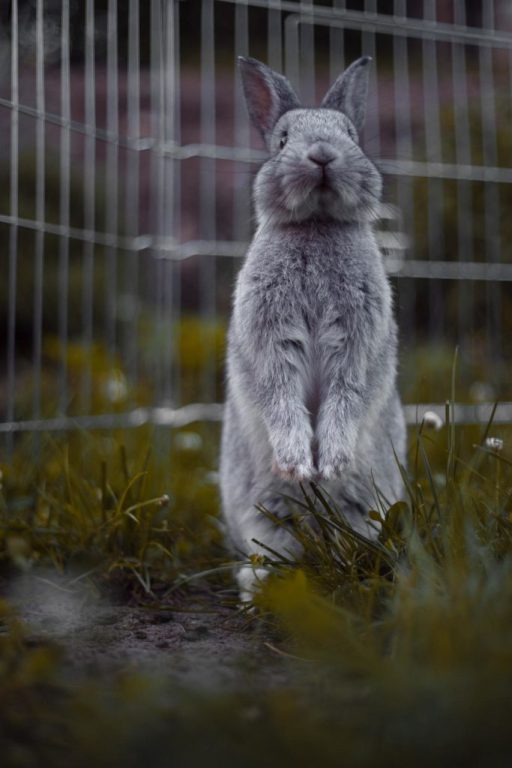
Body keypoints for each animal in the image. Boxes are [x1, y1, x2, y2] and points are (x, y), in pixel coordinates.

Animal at [222, 55, 406, 608]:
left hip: (364, 506)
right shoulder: (271, 340)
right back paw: (261, 587)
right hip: (263, 512)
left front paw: (332, 461)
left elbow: (347, 395)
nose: (322, 155)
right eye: (283, 139)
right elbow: (280, 395)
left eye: (350, 135)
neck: (317, 225)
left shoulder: (356, 344)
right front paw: (300, 464)